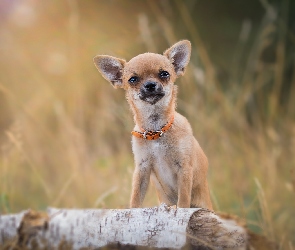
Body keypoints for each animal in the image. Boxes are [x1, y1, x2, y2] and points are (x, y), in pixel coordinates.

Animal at [94, 40, 213, 209]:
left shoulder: (184, 168)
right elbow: (136, 198)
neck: (156, 131)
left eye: (164, 74)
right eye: (132, 79)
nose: (150, 85)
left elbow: (183, 199)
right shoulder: (142, 168)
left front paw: (180, 208)